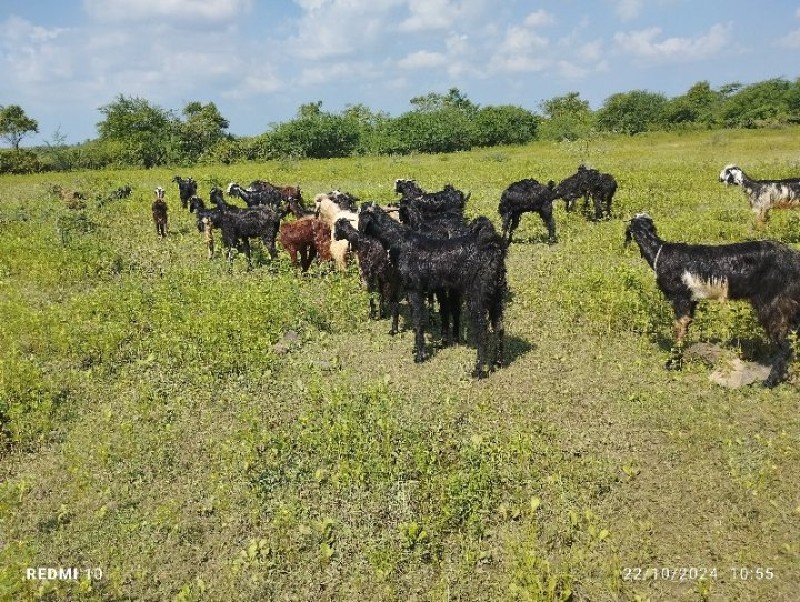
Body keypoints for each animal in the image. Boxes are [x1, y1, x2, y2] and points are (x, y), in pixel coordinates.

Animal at [360, 204, 506, 378]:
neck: (400, 241)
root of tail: (493, 250)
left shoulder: (414, 290)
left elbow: (418, 322)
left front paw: (420, 355)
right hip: (496, 297)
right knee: (499, 327)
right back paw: (498, 361)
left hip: (477, 298)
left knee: (482, 332)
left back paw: (479, 370)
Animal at [624, 213, 800, 386]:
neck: (659, 253)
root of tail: (794, 259)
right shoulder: (692, 300)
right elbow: (685, 327)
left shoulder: (681, 297)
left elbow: (678, 330)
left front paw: (673, 363)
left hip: (774, 303)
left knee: (784, 344)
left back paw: (769, 382)